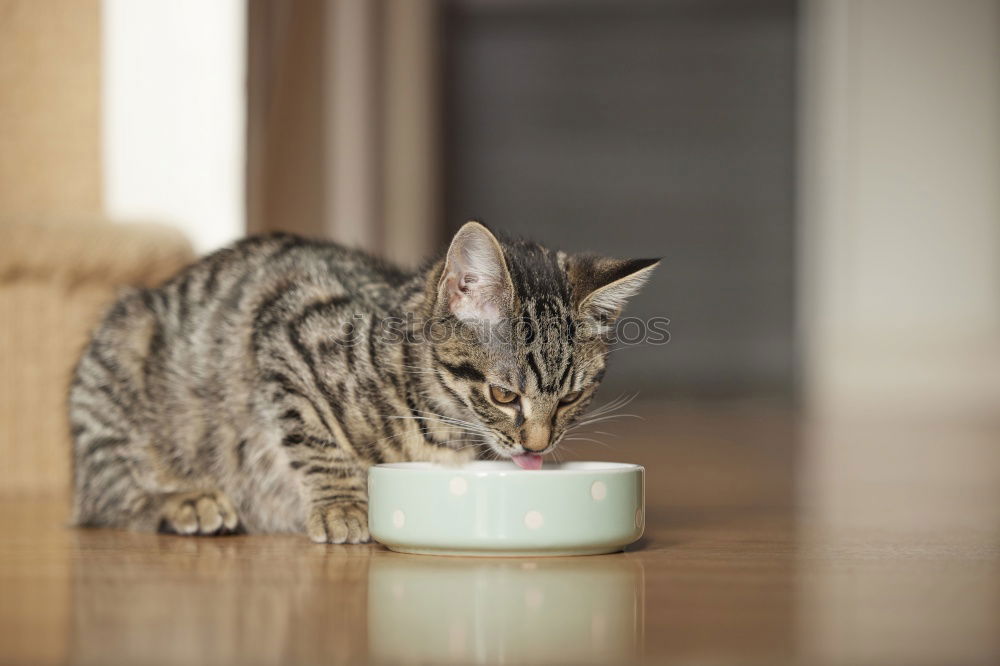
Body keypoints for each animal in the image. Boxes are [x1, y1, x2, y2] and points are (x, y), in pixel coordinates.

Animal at [66, 220, 652, 544]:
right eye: (503, 394)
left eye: (572, 396)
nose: (538, 445)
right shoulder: (288, 332)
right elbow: (316, 439)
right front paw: (344, 506)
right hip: (120, 360)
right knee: (109, 495)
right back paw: (184, 502)